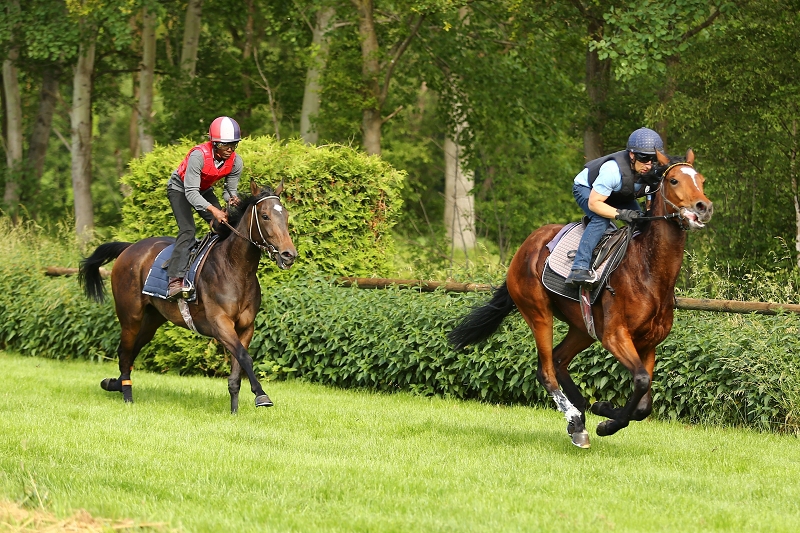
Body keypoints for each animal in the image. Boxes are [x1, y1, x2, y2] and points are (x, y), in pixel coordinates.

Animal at [79, 180, 297, 413]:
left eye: (285, 215)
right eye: (265, 216)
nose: (289, 255)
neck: (236, 269)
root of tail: (129, 248)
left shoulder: (246, 327)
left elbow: (237, 371)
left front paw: (234, 412)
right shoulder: (220, 324)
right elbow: (245, 357)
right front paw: (261, 395)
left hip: (153, 318)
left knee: (133, 350)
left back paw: (113, 384)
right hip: (130, 316)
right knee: (125, 353)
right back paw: (127, 395)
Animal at [448, 149, 713, 448]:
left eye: (702, 180)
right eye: (674, 180)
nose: (704, 207)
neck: (649, 270)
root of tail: (527, 245)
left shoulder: (648, 344)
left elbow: (644, 403)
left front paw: (604, 410)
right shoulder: (615, 336)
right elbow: (642, 381)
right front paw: (607, 421)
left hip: (583, 328)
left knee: (559, 360)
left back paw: (579, 414)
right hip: (539, 313)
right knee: (547, 371)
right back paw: (575, 420)